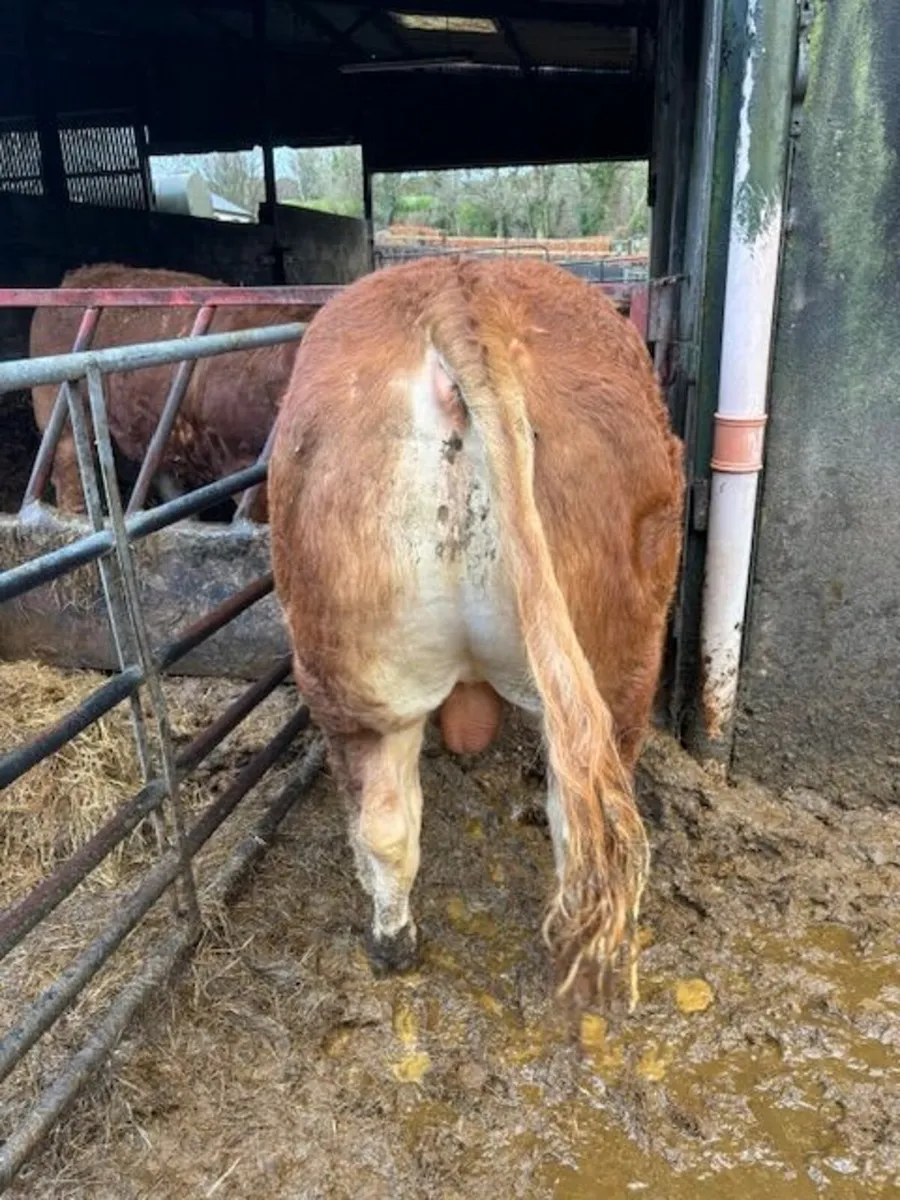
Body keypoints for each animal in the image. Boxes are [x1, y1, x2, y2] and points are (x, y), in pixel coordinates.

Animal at [269, 257, 685, 1005]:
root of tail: (460, 289)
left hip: (358, 675)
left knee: (387, 823)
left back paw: (394, 945)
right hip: (623, 665)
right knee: (570, 818)